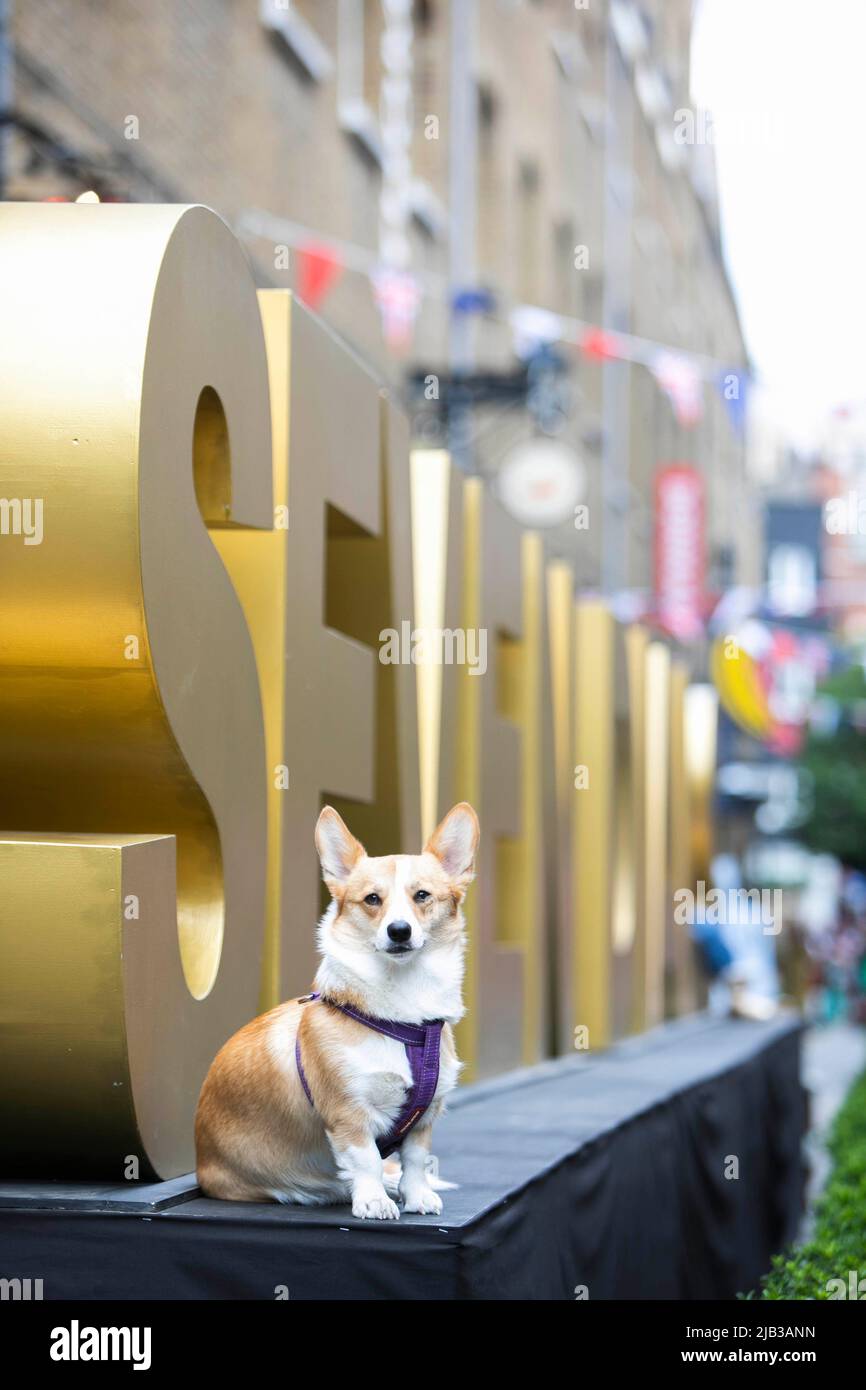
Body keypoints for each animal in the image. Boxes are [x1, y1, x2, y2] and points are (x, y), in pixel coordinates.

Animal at [195, 806, 478, 1217]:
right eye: (372, 899)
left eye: (422, 895)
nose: (399, 930)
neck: (402, 1014)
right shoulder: (349, 1113)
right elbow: (367, 1160)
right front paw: (373, 1200)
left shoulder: (424, 1118)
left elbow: (414, 1159)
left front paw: (416, 1196)